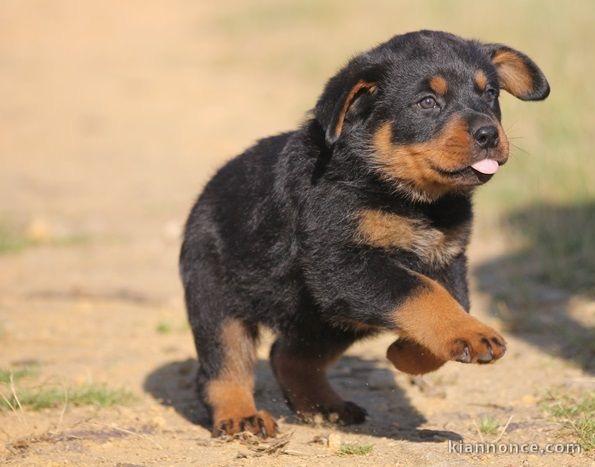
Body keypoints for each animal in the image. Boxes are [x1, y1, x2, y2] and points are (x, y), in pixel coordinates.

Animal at [179, 30, 552, 438]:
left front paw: (406, 353)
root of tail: (204, 196)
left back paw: (324, 407)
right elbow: (422, 293)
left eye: (490, 94)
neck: (408, 196)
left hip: (328, 319)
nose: (488, 133)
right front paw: (470, 335)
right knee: (223, 363)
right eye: (427, 102)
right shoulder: (343, 264)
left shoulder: (446, 257)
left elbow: (452, 300)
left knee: (288, 355)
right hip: (216, 293)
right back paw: (241, 416)